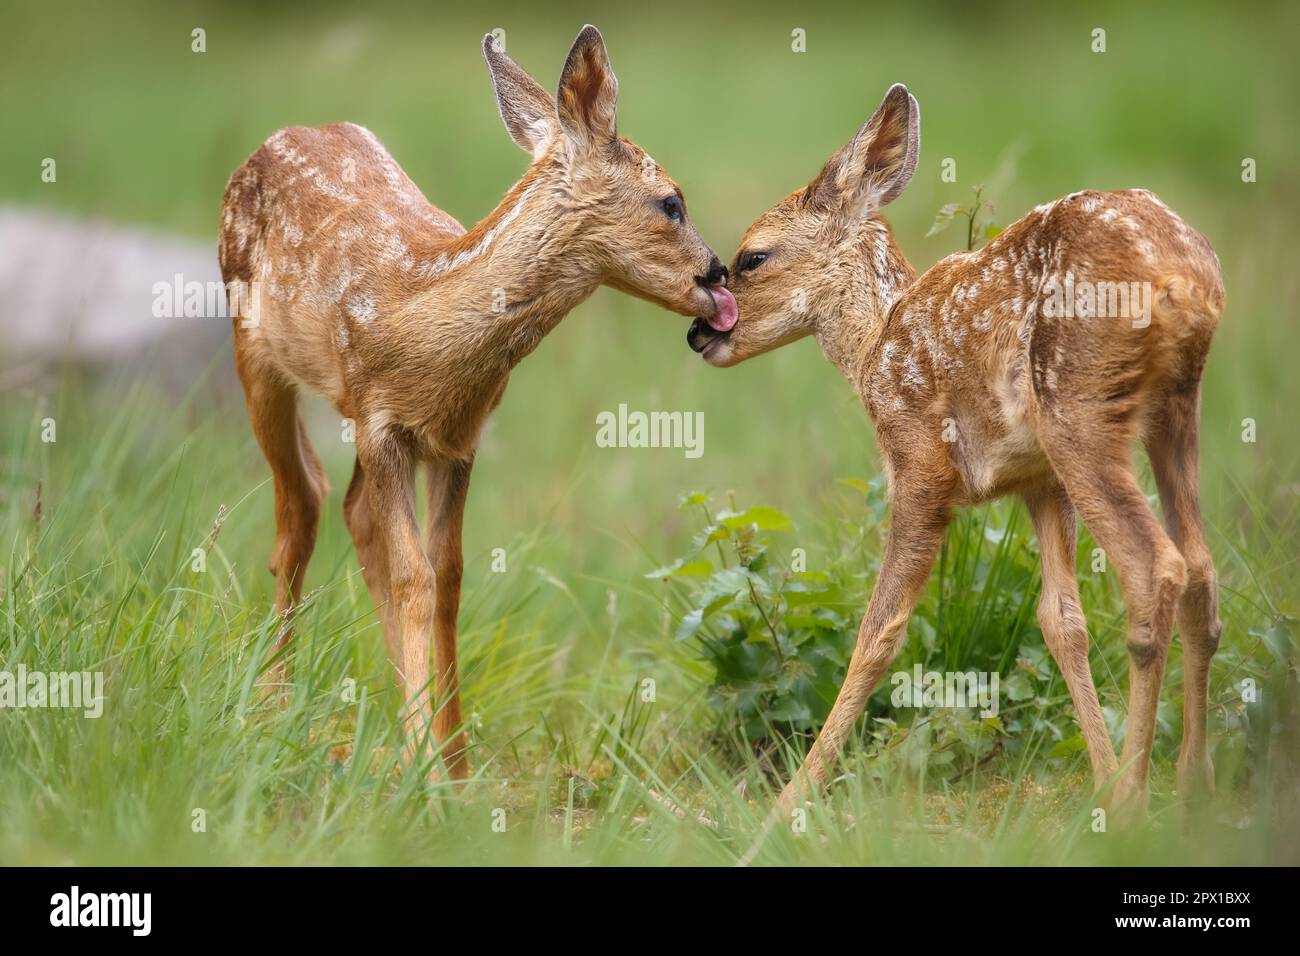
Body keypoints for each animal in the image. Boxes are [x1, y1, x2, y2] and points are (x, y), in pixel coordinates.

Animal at [216, 26, 736, 781]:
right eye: (672, 202)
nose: (719, 272)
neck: (425, 326)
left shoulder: (458, 437)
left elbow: (449, 576)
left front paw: (456, 765)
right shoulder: (380, 423)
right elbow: (414, 577)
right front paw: (423, 765)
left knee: (350, 511)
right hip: (252, 351)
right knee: (300, 506)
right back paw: (270, 706)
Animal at [686, 84, 1225, 847]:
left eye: (753, 256)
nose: (699, 332)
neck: (873, 346)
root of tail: (1189, 277)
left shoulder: (920, 461)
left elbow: (878, 631)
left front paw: (785, 808)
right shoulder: (1039, 483)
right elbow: (1062, 622)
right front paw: (1098, 775)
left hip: (1080, 410)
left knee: (1157, 568)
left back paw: (1135, 805)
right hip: (1172, 413)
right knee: (1202, 568)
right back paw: (1191, 789)